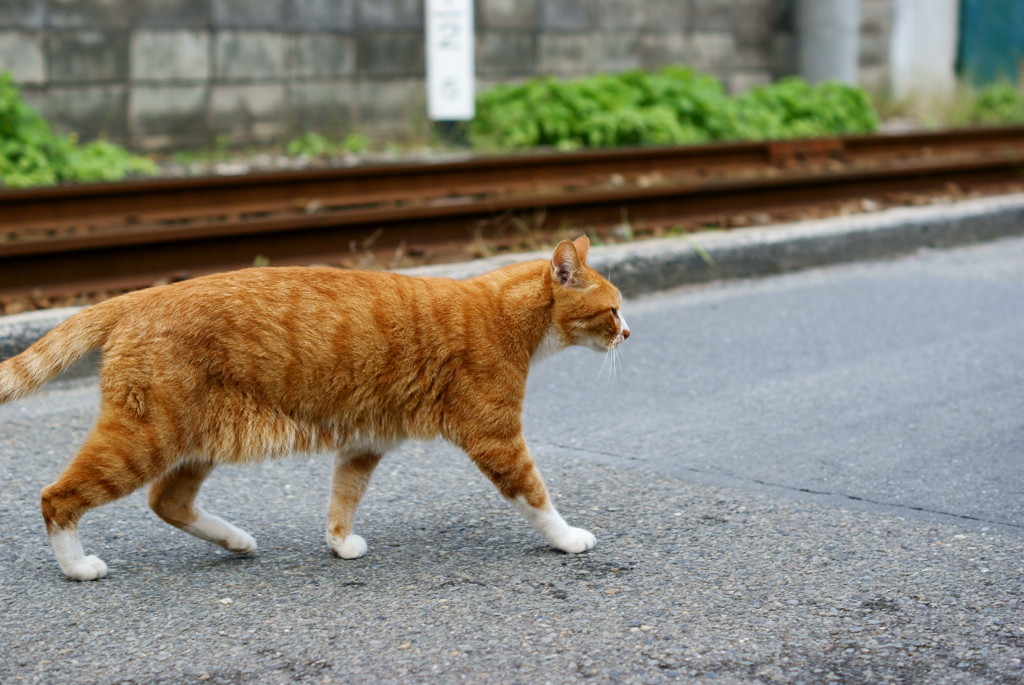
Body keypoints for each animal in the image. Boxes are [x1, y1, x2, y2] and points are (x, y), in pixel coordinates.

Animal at [0, 235, 630, 577]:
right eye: (613, 309)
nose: (628, 334)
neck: (506, 312)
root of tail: (138, 296)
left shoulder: (365, 441)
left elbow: (342, 497)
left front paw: (339, 543)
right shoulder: (495, 436)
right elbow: (536, 495)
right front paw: (568, 538)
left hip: (197, 437)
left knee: (167, 500)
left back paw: (236, 540)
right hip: (145, 437)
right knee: (58, 497)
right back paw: (78, 566)